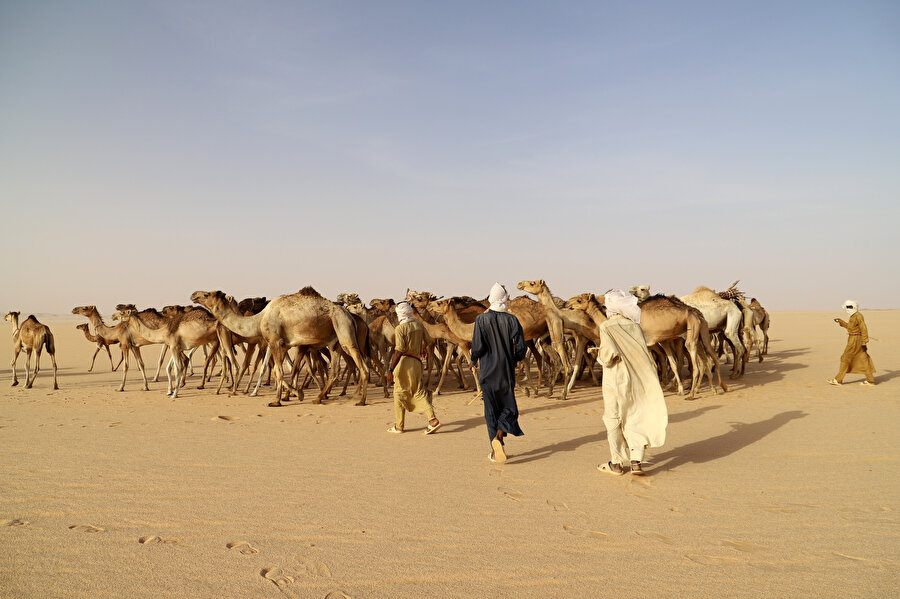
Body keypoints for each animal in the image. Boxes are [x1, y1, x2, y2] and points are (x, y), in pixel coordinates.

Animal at [192, 288, 370, 408]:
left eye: (207, 294)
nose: (194, 294)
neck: (258, 319)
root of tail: (350, 315)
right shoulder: (283, 345)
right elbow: (282, 371)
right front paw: (285, 397)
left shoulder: (275, 341)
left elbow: (279, 371)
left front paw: (289, 396)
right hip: (334, 342)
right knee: (335, 370)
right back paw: (319, 398)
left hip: (344, 331)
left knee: (362, 366)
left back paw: (360, 400)